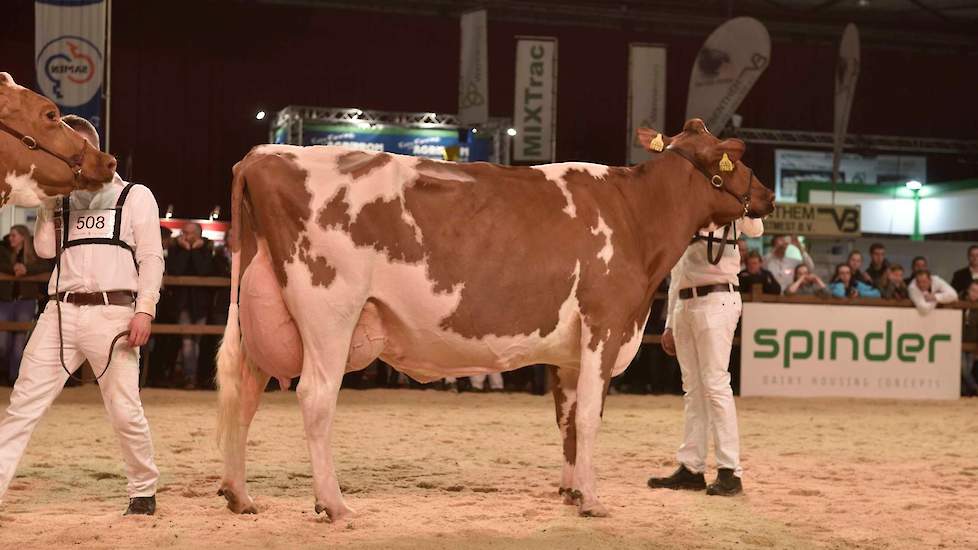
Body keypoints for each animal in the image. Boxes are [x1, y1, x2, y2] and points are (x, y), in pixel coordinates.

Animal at [217, 118, 772, 520]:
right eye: (737, 157)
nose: (767, 196)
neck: (636, 217)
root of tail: (264, 154)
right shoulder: (605, 327)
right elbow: (589, 418)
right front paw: (592, 500)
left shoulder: (568, 352)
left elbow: (567, 420)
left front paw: (570, 492)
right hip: (330, 312)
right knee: (314, 398)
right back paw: (333, 504)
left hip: (261, 315)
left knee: (242, 393)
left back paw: (240, 496)